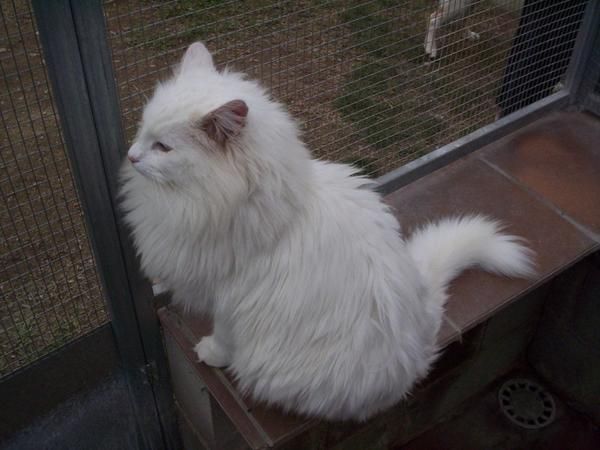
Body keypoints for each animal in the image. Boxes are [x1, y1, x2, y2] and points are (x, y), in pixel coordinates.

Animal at [118, 42, 536, 422]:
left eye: (163, 147)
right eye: (142, 131)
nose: (131, 155)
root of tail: (420, 349)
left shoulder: (228, 298)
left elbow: (222, 336)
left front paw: (211, 354)